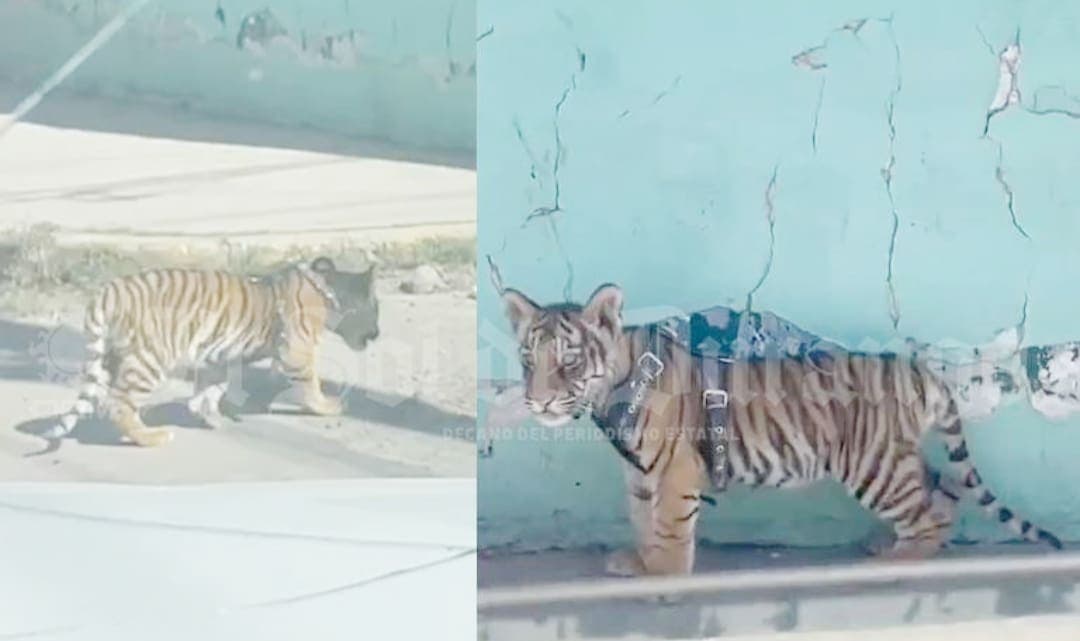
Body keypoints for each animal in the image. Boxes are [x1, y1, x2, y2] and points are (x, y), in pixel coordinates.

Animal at [44, 256, 379, 447]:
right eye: (375, 310)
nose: (377, 334)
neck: (329, 294)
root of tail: (107, 291)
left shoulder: (217, 356)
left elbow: (212, 388)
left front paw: (211, 414)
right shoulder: (297, 352)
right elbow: (311, 384)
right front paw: (327, 406)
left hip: (109, 356)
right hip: (149, 361)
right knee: (119, 405)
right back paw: (153, 437)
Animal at [501, 283, 1063, 576]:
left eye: (569, 361)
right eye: (529, 358)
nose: (538, 400)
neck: (612, 390)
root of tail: (915, 368)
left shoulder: (675, 468)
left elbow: (670, 523)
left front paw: (665, 575)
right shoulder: (640, 473)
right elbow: (643, 518)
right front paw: (639, 561)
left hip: (873, 466)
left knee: (929, 516)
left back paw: (897, 560)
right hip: (896, 460)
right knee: (942, 492)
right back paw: (886, 546)